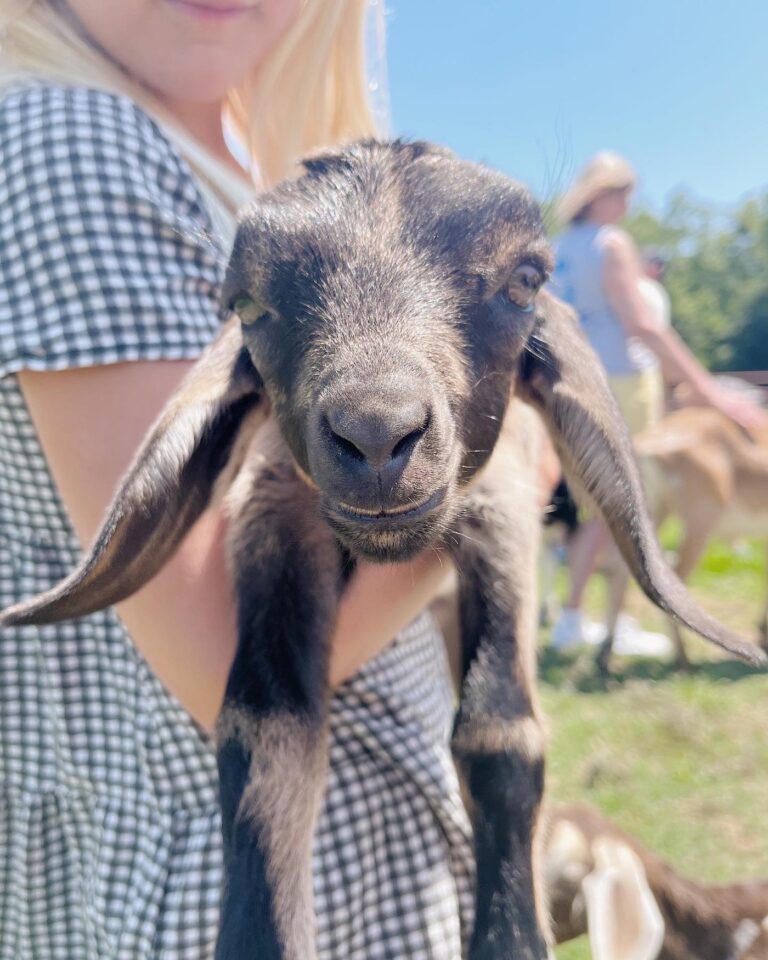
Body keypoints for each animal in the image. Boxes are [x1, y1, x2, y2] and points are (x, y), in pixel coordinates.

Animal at [598, 406, 768, 672]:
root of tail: (652, 442)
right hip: (697, 529)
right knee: (672, 582)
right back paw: (683, 659)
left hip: (649, 515)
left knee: (620, 570)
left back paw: (604, 657)